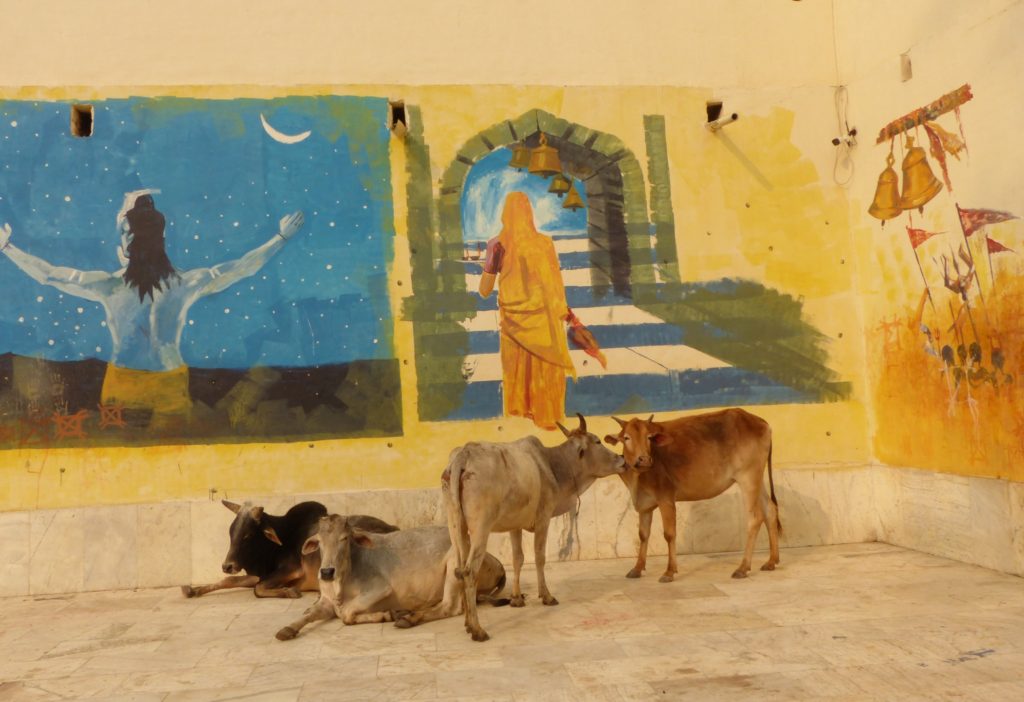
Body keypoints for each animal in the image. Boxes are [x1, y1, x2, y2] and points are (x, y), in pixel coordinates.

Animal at [182, 501, 397, 597]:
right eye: (231, 531)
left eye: (247, 535)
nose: (227, 565)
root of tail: (394, 528)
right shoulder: (260, 574)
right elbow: (230, 580)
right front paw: (193, 590)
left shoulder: (292, 570)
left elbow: (259, 589)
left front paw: (289, 591)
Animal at [274, 517, 509, 642]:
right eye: (320, 541)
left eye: (344, 538)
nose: (326, 572)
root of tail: (496, 561)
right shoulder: (326, 601)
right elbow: (309, 615)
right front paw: (288, 628)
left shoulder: (380, 589)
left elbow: (347, 614)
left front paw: (386, 614)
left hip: (455, 564)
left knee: (450, 607)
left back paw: (407, 618)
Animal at [438, 415, 622, 646]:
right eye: (597, 441)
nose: (622, 459)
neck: (553, 466)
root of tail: (464, 455)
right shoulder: (543, 517)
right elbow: (539, 557)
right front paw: (546, 596)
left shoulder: (514, 525)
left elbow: (518, 559)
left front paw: (517, 599)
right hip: (481, 528)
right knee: (470, 571)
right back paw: (478, 630)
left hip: (456, 526)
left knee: (460, 569)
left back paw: (467, 623)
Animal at [602, 409, 778, 585]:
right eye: (626, 437)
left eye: (649, 437)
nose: (644, 459)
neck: (637, 479)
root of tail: (759, 421)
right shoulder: (645, 505)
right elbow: (643, 535)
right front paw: (637, 568)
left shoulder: (666, 498)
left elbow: (669, 534)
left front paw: (669, 571)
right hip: (757, 479)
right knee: (770, 509)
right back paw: (771, 561)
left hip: (748, 477)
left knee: (755, 517)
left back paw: (743, 568)